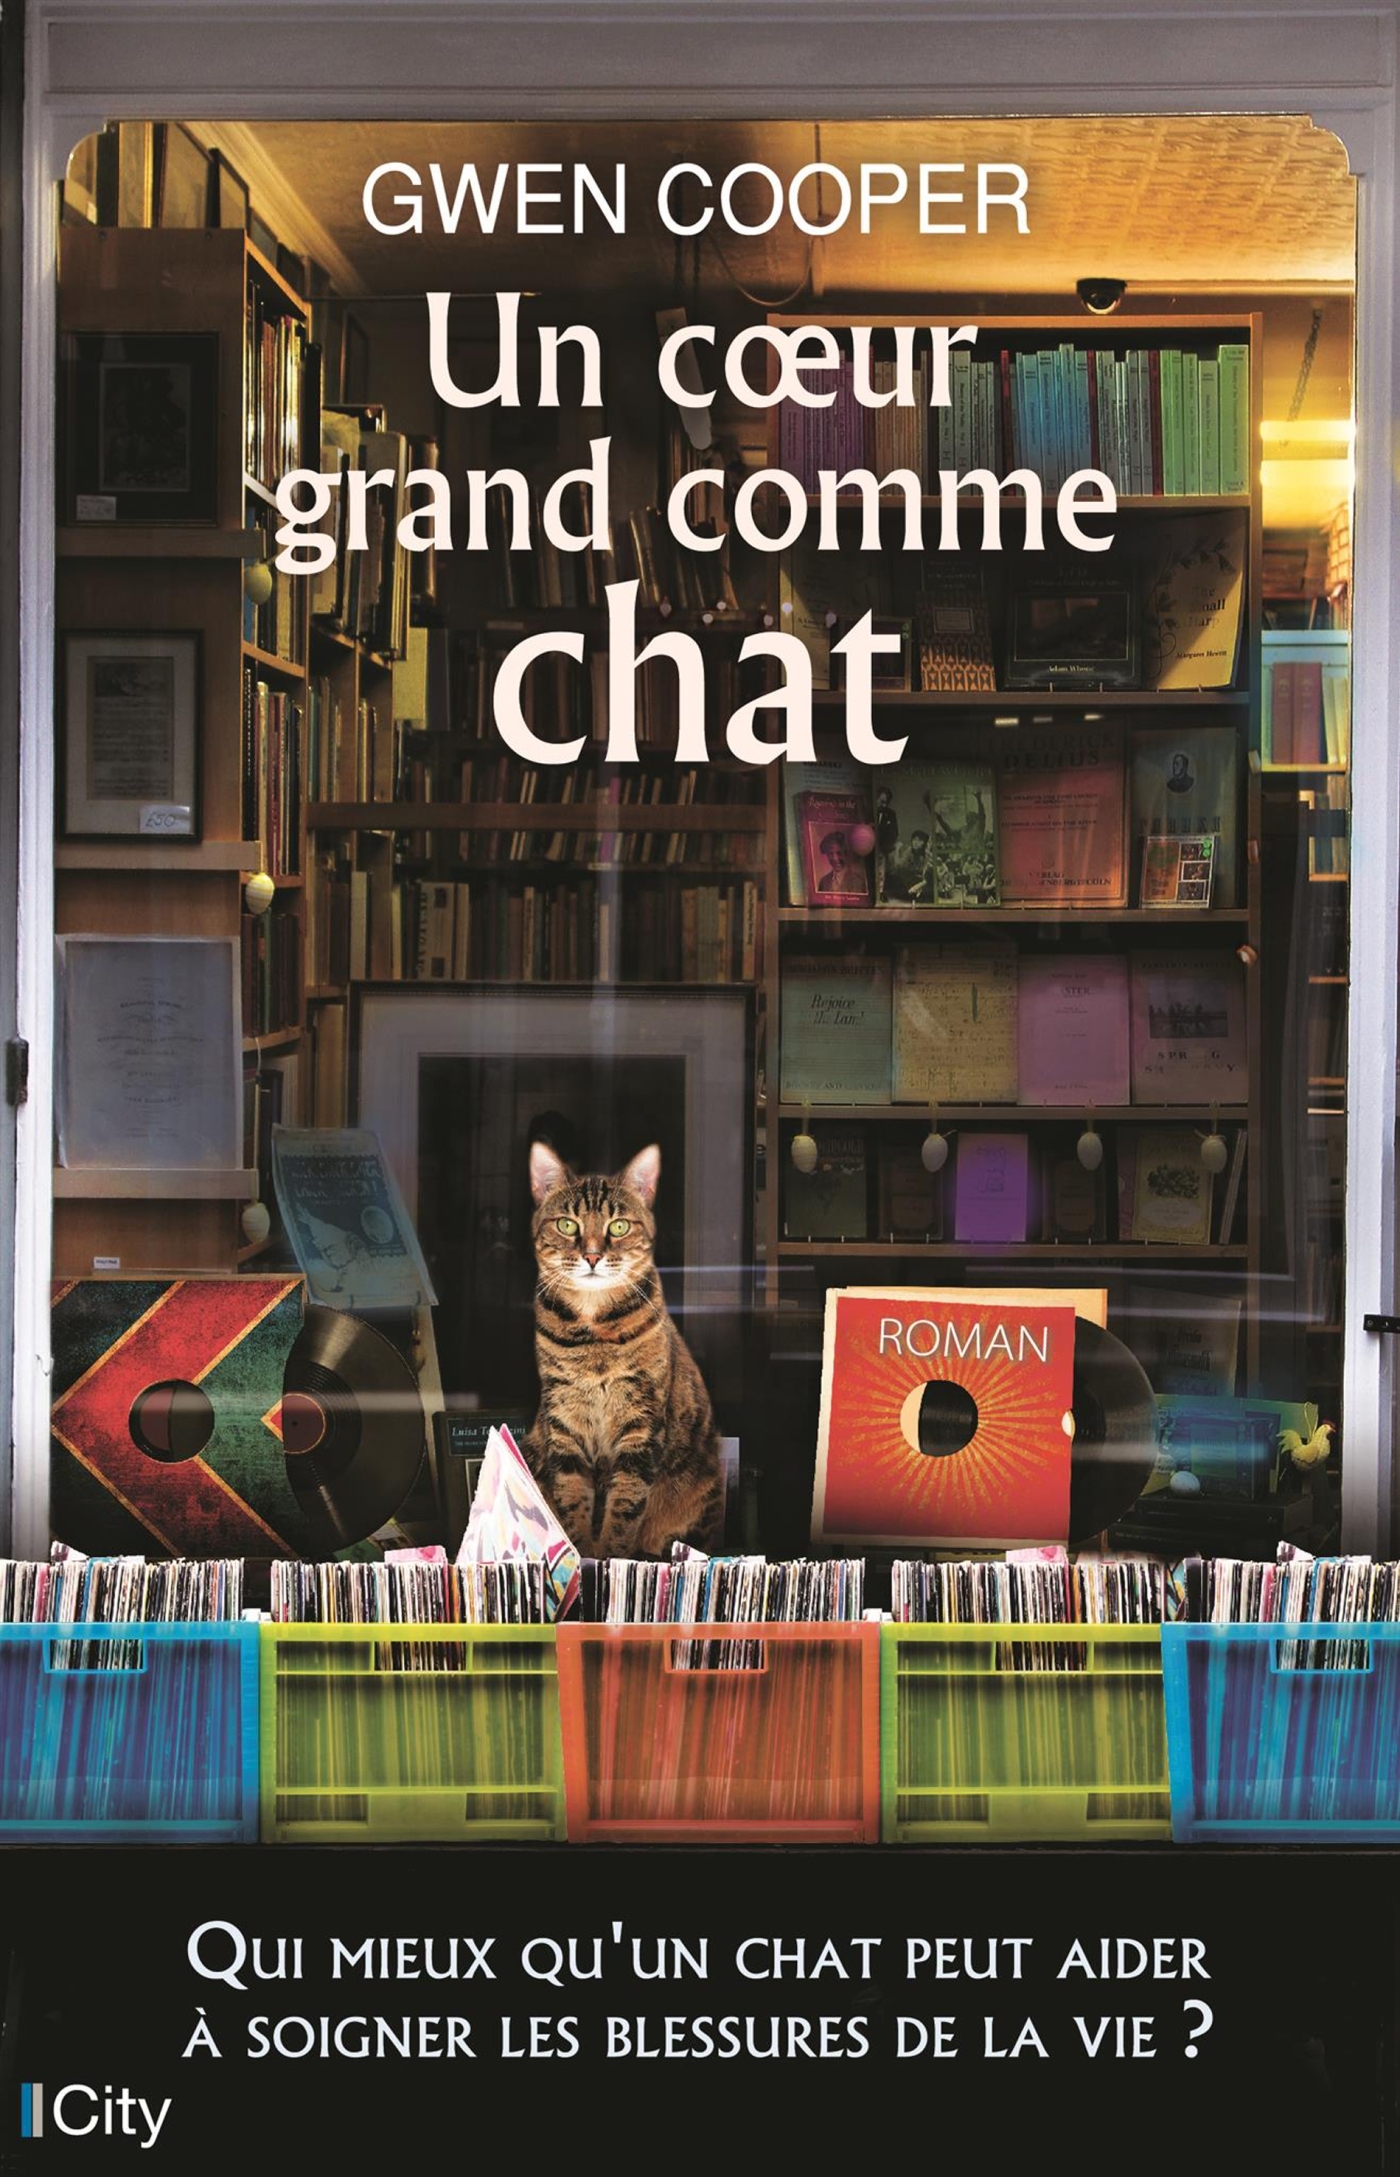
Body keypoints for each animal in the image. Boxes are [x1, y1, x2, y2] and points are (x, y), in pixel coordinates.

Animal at [523, 1139, 723, 1558]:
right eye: (567, 1224)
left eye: (618, 1226)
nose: (592, 1256)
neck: (594, 1330)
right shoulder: (563, 1420)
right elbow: (572, 1500)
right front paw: (582, 1554)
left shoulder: (640, 1423)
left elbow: (624, 1508)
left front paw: (611, 1556)